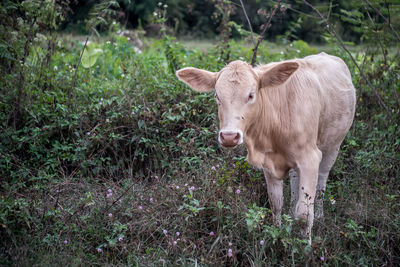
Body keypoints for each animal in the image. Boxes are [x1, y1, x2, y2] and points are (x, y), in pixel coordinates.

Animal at [177, 52, 354, 245]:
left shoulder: (310, 159)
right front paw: (277, 235)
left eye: (251, 95)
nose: (229, 136)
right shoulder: (268, 162)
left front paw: (305, 247)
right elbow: (275, 203)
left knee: (322, 179)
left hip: (333, 144)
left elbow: (304, 215)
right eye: (217, 96)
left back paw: (320, 215)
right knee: (294, 180)